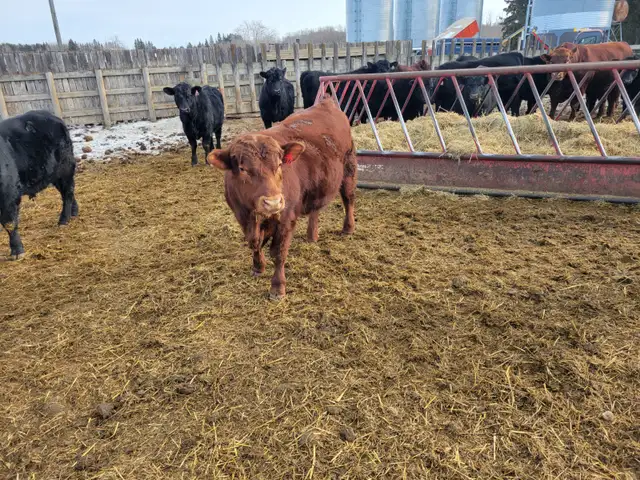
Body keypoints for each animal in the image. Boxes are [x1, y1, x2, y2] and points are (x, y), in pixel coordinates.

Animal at [0, 110, 78, 260]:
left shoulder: (8, 195)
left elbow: (9, 223)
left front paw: (17, 251)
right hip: (54, 174)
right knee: (68, 191)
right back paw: (74, 211)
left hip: (64, 169)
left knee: (67, 192)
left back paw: (64, 220)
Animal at [206, 97, 356, 300]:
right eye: (242, 168)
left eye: (278, 165)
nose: (273, 203)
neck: (256, 217)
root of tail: (326, 102)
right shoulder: (242, 217)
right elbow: (254, 243)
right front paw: (258, 267)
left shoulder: (286, 218)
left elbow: (278, 252)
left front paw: (277, 287)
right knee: (315, 209)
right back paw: (312, 236)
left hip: (349, 168)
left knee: (348, 199)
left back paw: (348, 228)